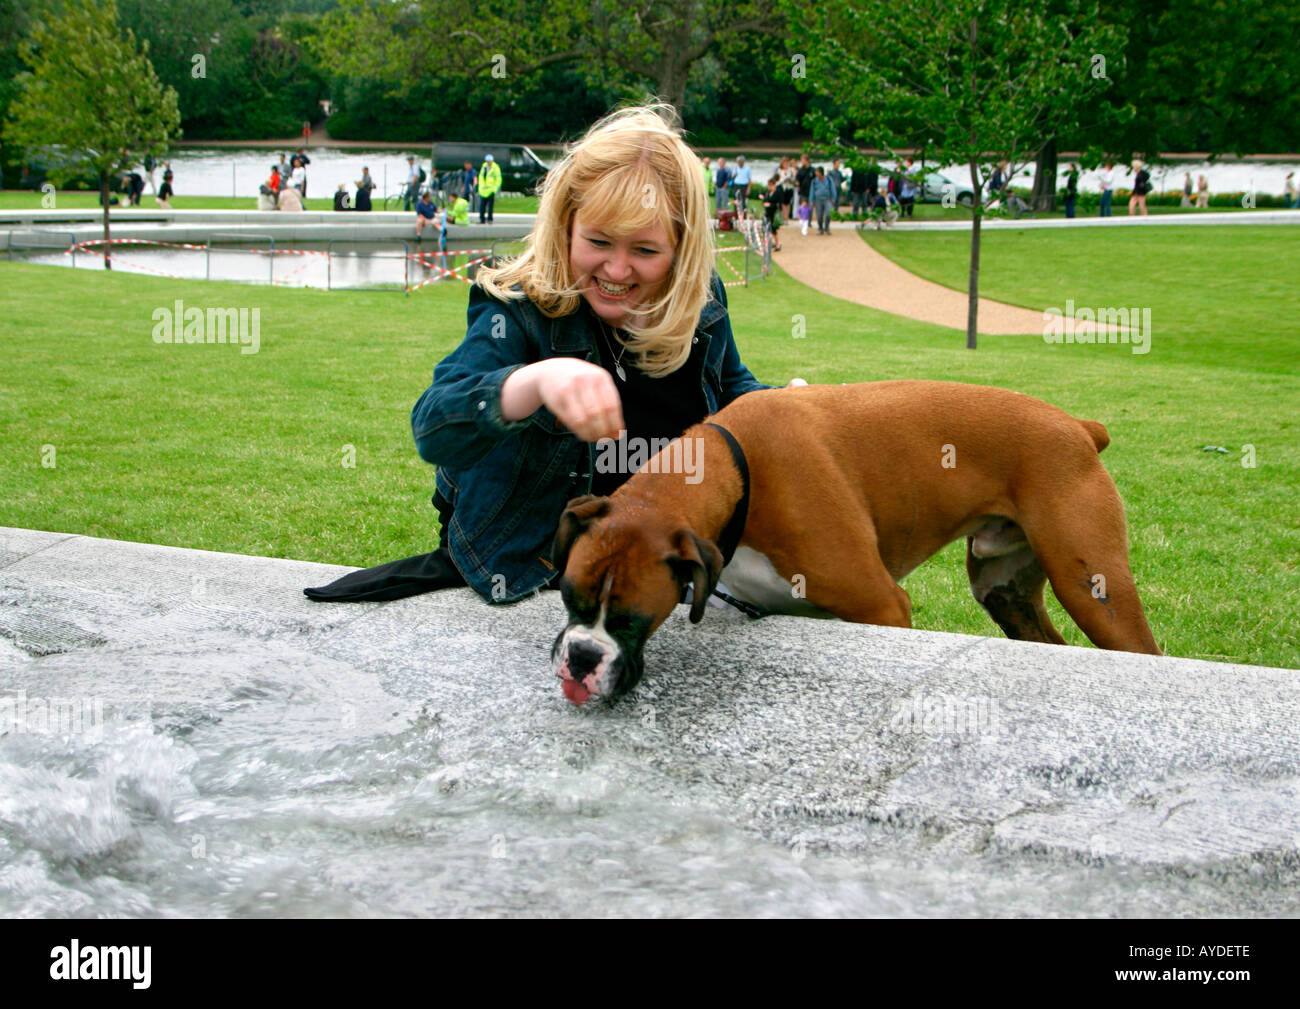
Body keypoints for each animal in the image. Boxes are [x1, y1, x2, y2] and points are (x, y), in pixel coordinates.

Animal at [548, 382, 1159, 707]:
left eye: (631, 619)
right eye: (569, 599)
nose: (581, 657)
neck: (740, 469)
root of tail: (1078, 426)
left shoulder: (882, 607)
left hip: (1094, 590)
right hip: (1005, 591)